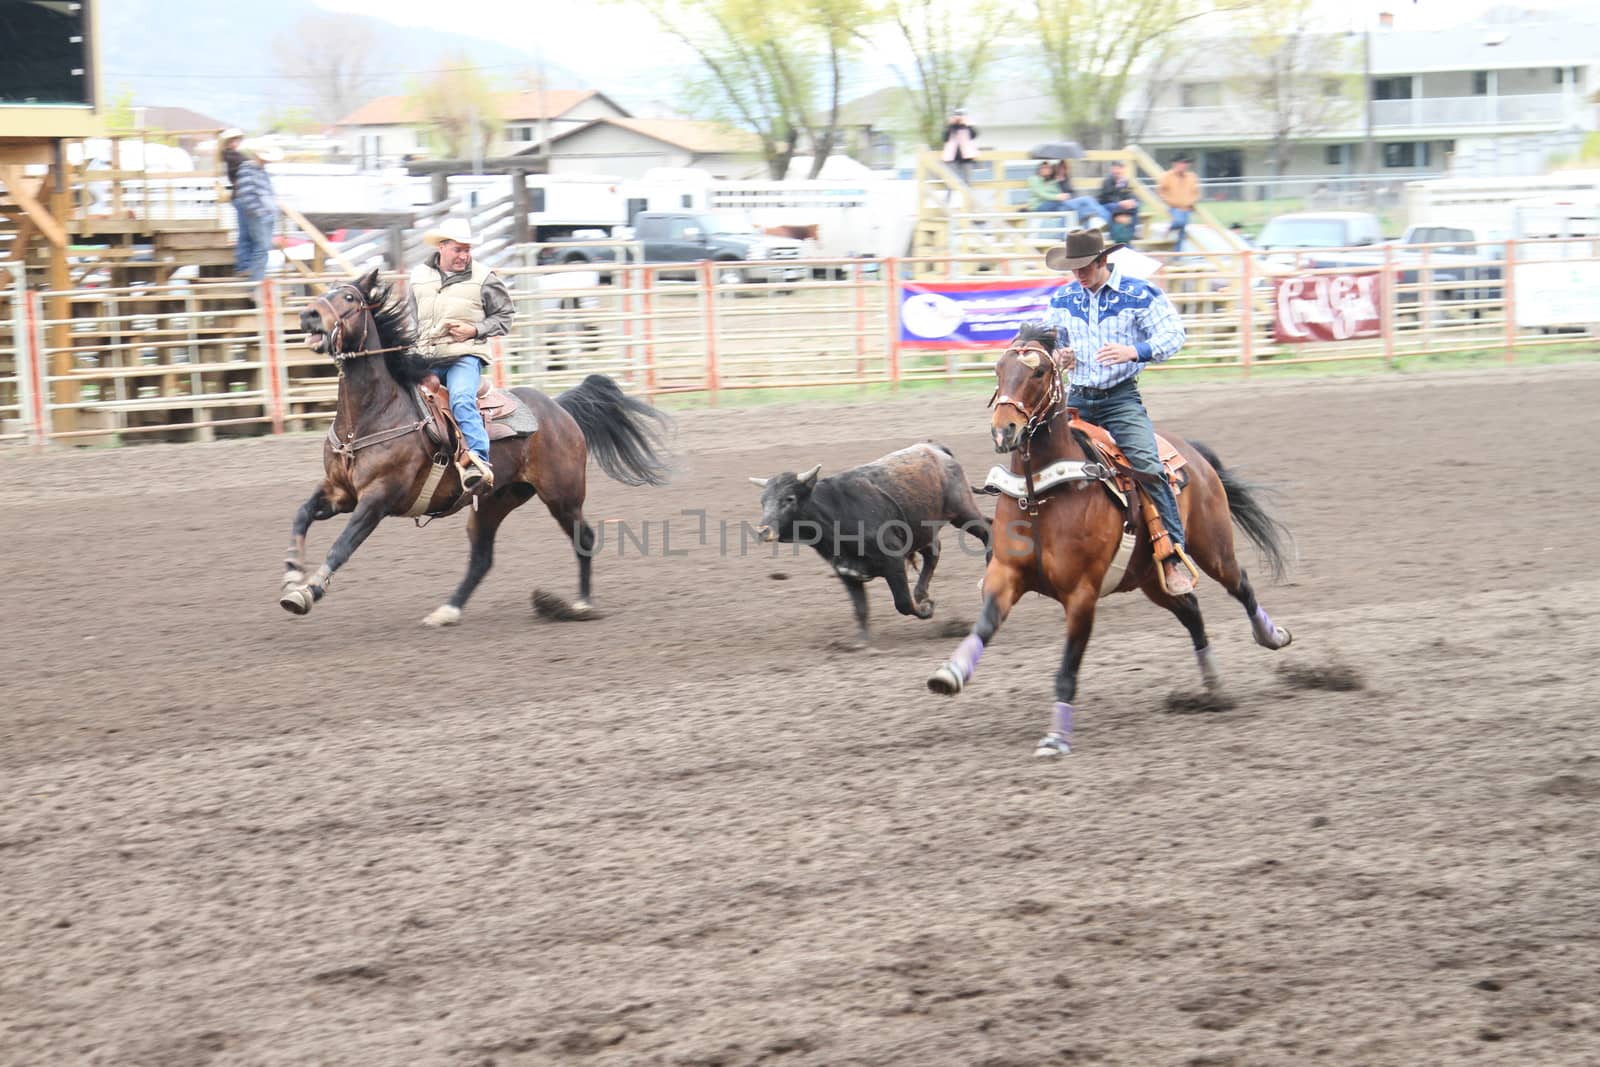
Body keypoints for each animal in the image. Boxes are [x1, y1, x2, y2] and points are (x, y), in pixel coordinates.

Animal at [281, 265, 668, 627]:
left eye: (349, 297)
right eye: (324, 291)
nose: (309, 314)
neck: (372, 414)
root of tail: (559, 408)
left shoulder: (376, 499)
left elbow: (342, 546)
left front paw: (306, 592)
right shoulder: (339, 493)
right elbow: (300, 514)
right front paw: (291, 574)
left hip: (563, 495)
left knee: (583, 538)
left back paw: (582, 605)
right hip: (495, 501)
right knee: (482, 558)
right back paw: (448, 611)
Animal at [934, 326, 1292, 758]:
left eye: (1038, 373)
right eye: (999, 370)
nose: (1004, 431)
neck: (1041, 496)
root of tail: (1193, 453)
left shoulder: (1081, 594)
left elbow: (1068, 666)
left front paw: (1057, 737)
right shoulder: (1006, 574)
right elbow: (985, 624)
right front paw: (950, 673)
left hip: (1213, 548)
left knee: (1240, 584)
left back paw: (1271, 636)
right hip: (1152, 578)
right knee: (1191, 610)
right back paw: (1213, 688)